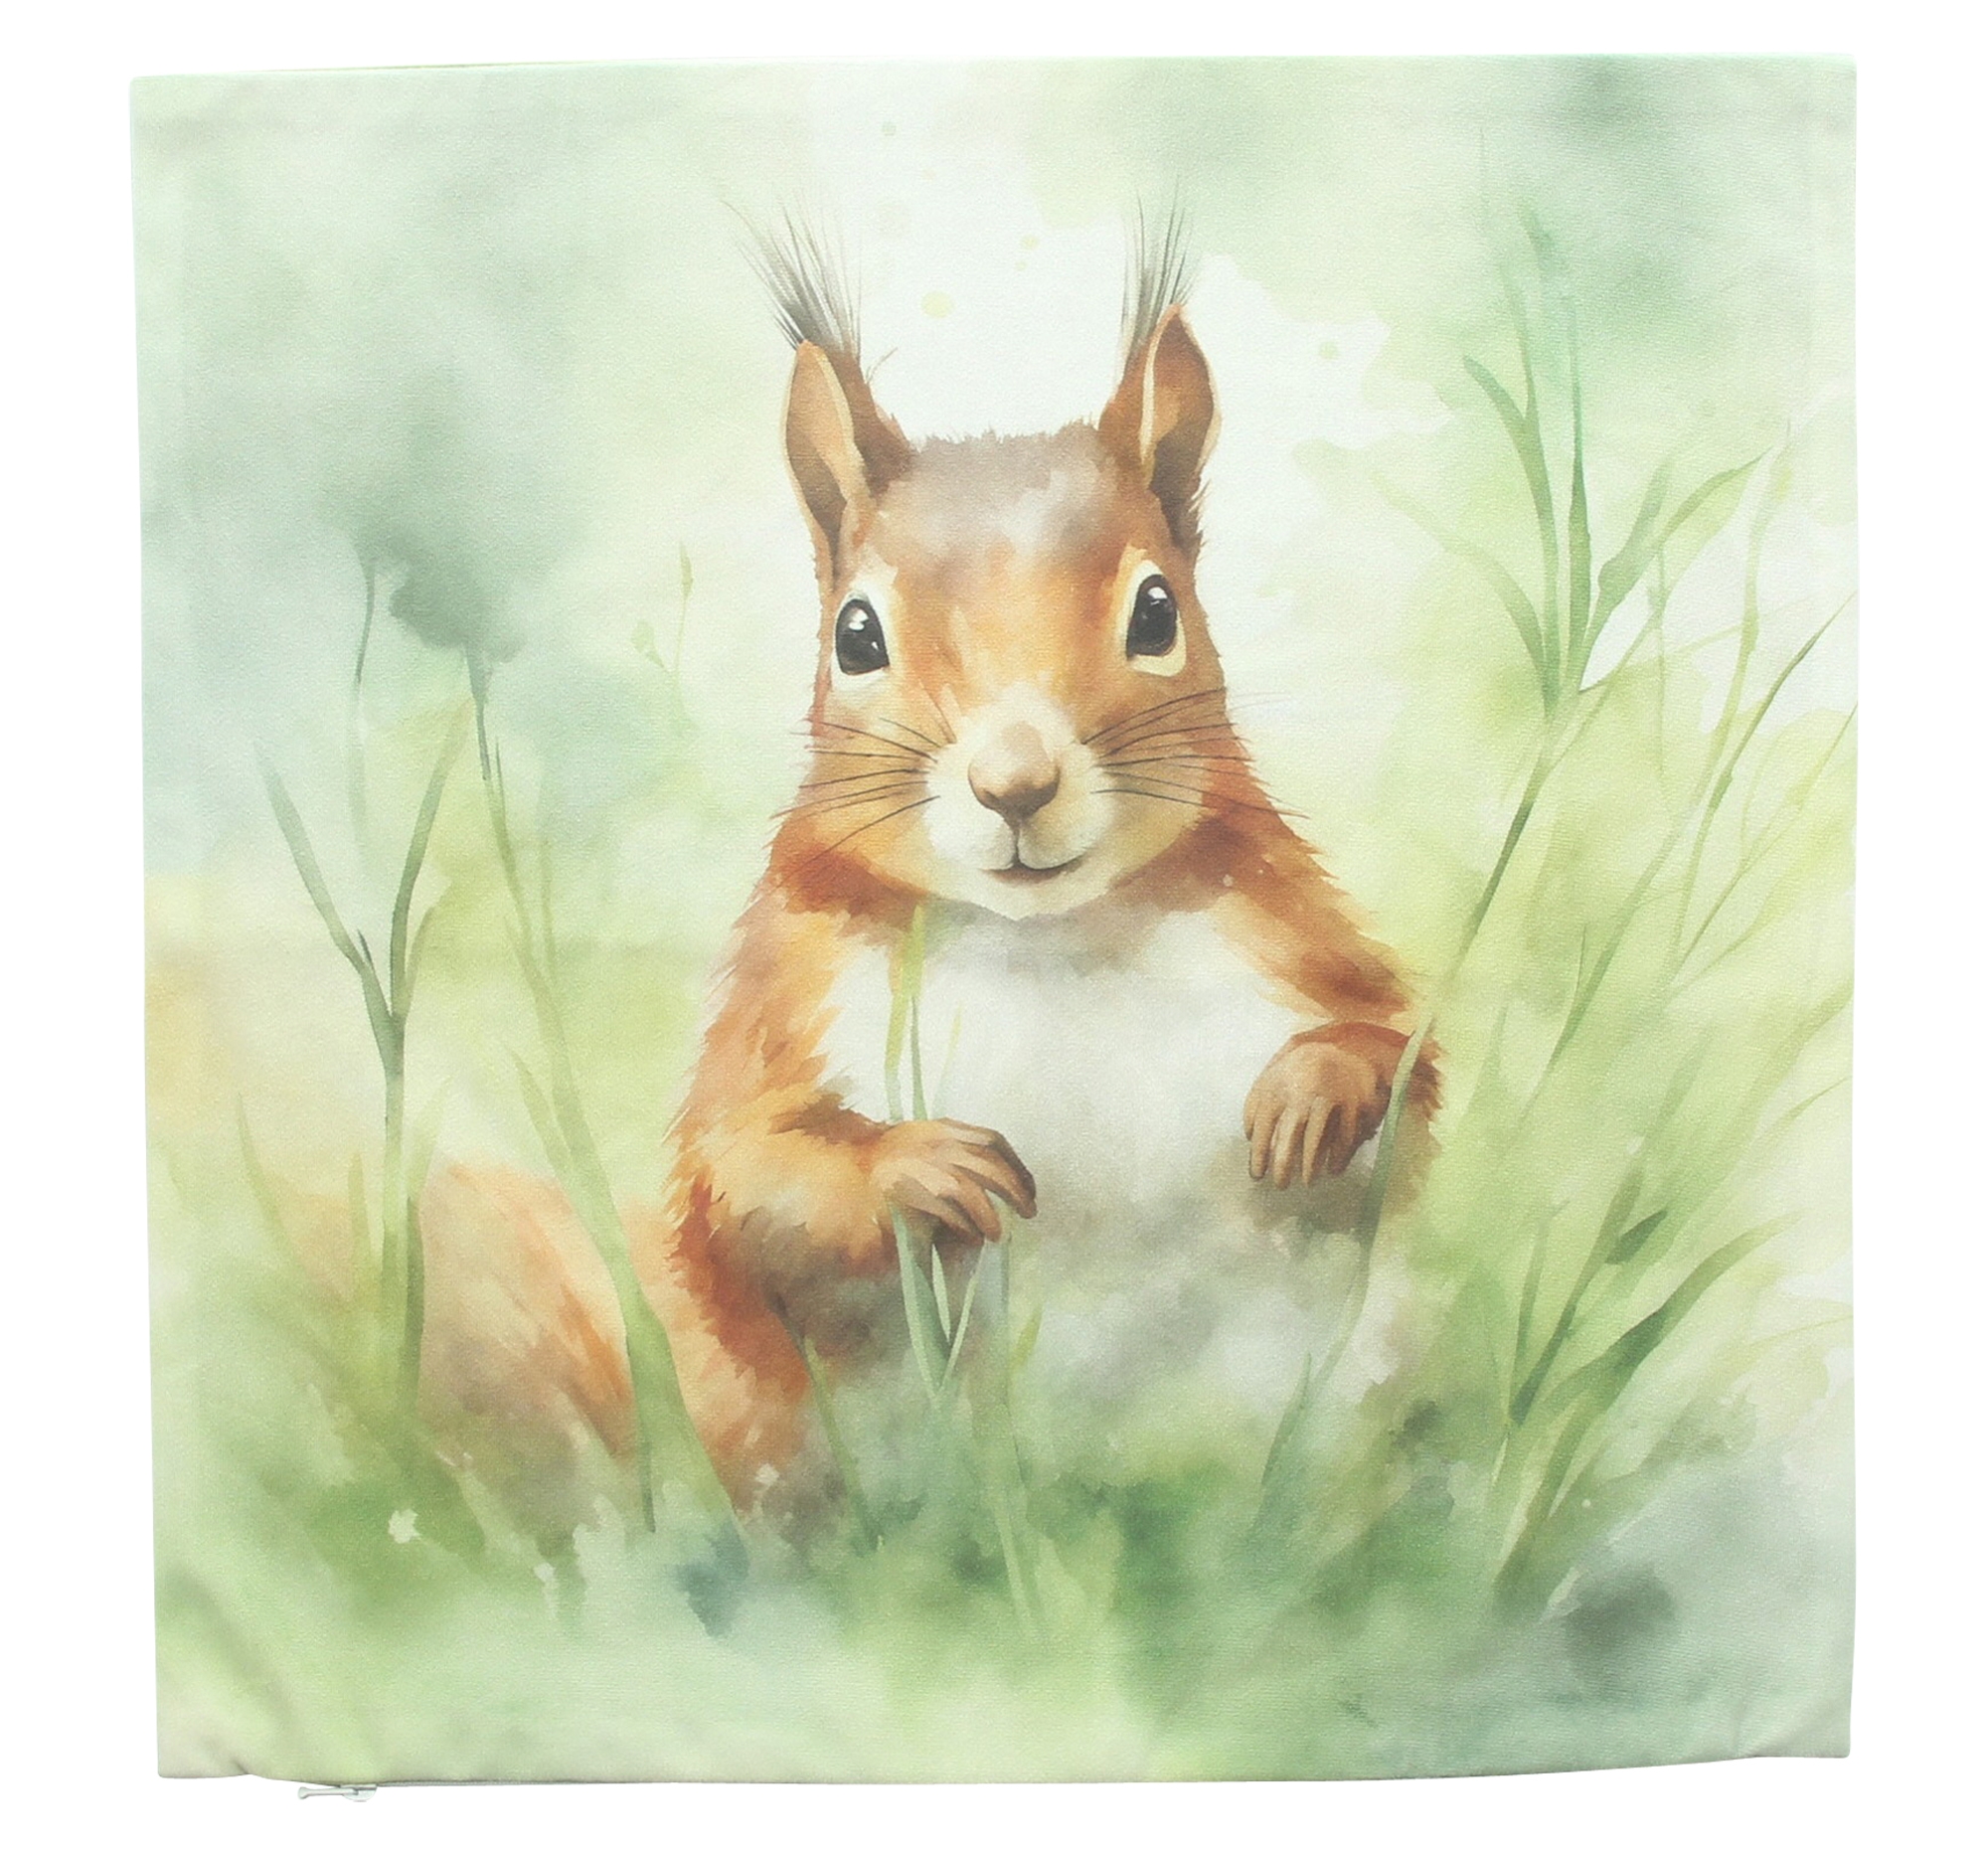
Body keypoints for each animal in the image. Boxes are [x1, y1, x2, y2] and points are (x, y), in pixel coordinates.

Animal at [638, 228, 1440, 1510]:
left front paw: (1311, 1090)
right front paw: (919, 1166)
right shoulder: (783, 998)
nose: (1013, 783)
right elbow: (744, 1167)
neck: (1050, 939)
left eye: (1156, 610)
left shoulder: (1288, 936)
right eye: (854, 635)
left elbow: (1401, 1061)